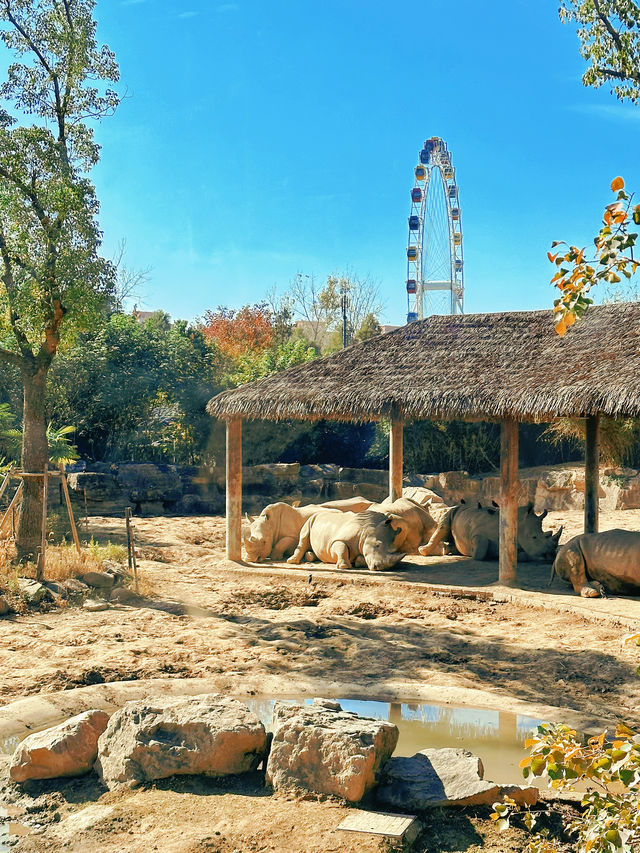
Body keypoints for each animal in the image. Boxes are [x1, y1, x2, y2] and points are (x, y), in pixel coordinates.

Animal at [245, 496, 376, 564]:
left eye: (264, 542)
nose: (249, 560)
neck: (271, 524)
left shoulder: (293, 536)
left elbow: (281, 543)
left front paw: (275, 557)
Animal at [420, 496, 560, 564]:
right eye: (534, 537)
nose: (552, 555)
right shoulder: (477, 534)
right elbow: (479, 554)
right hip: (453, 510)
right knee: (443, 526)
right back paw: (423, 551)